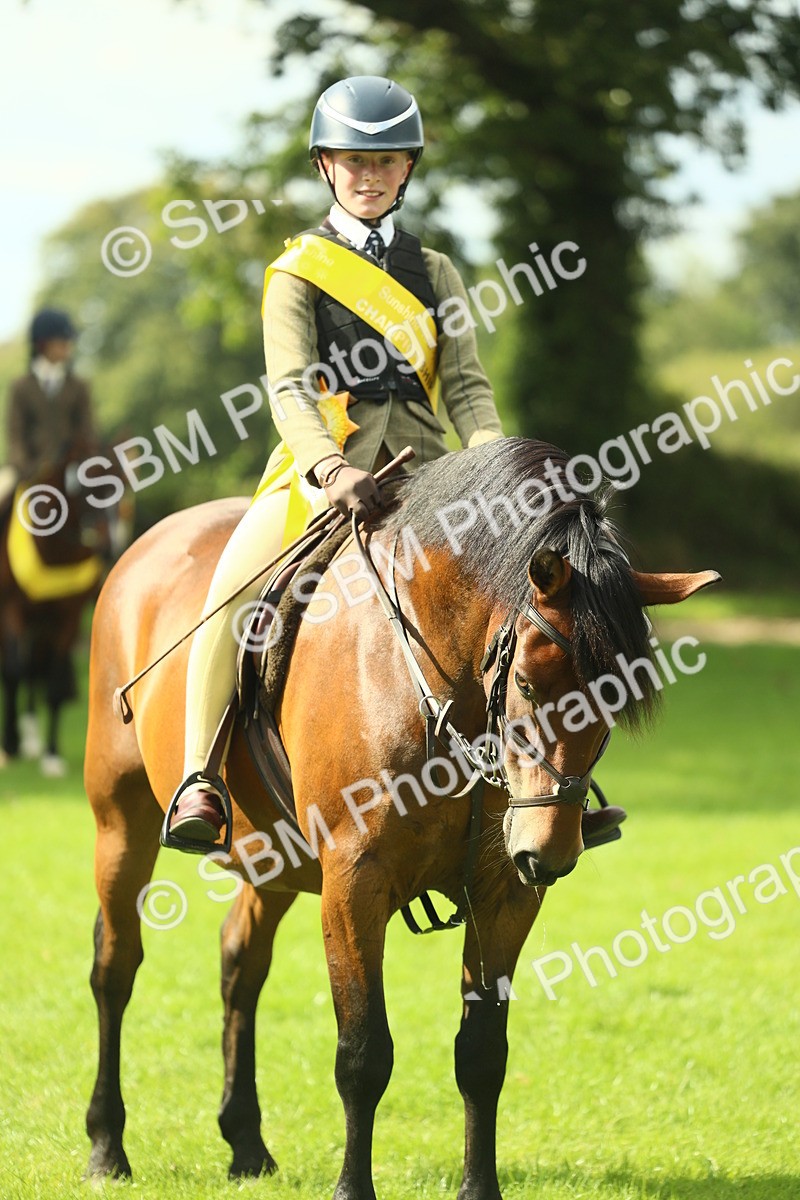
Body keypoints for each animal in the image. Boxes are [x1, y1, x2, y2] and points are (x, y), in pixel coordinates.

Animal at [0, 452, 118, 773]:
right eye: (85, 486)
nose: (110, 546)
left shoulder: (67, 618)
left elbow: (51, 682)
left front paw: (50, 754)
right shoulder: (13, 610)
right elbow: (13, 671)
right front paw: (8, 747)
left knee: (34, 667)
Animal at [84, 438, 718, 1199]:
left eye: (618, 701)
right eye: (527, 683)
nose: (549, 851)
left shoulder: (506, 893)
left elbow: (482, 1053)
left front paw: (480, 1188)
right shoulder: (354, 886)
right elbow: (364, 1054)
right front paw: (352, 1187)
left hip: (272, 860)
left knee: (241, 967)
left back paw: (245, 1142)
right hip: (120, 822)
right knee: (116, 967)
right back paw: (107, 1145)